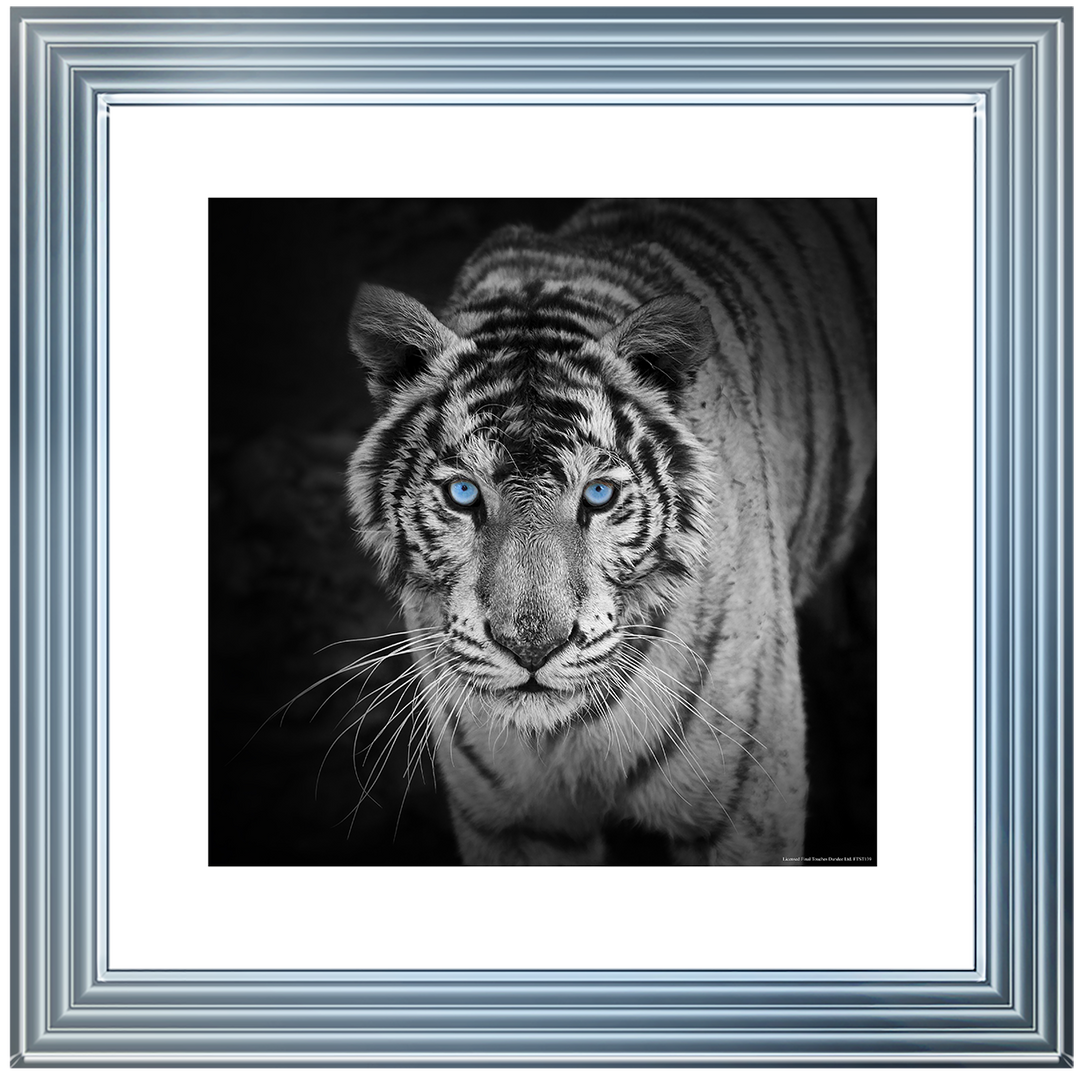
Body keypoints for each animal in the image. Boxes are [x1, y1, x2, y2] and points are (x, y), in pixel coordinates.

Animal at [345, 199, 875, 865]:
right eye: (463, 493)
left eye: (597, 495)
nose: (532, 649)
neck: (564, 736)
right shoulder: (513, 822)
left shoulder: (743, 810)